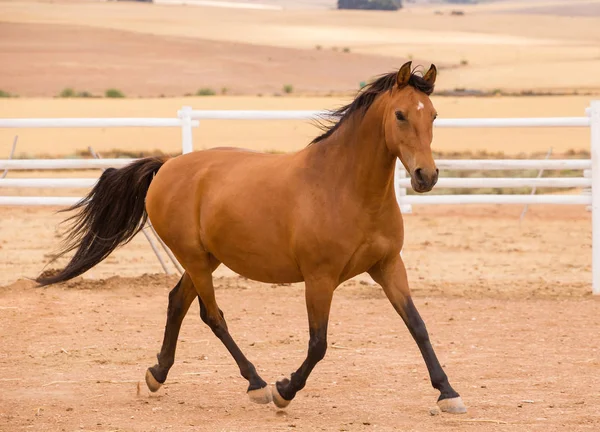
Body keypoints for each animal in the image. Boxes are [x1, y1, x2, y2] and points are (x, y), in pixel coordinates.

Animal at [37, 61, 466, 416]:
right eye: (400, 115)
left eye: (434, 115)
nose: (426, 176)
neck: (346, 188)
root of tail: (168, 166)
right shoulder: (320, 278)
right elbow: (318, 343)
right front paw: (284, 391)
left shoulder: (388, 266)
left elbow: (418, 325)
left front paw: (448, 393)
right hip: (196, 260)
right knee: (212, 316)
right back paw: (256, 383)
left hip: (205, 259)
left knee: (177, 303)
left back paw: (157, 375)